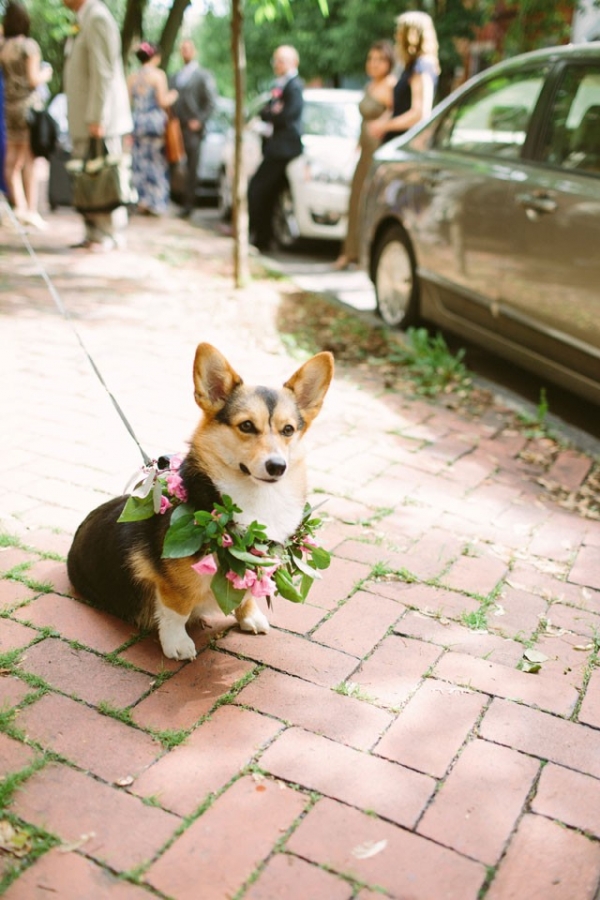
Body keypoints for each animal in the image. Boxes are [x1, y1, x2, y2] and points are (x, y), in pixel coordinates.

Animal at [69, 342, 338, 656]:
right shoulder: (173, 581)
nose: (277, 466)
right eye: (247, 426)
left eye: (288, 430)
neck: (254, 498)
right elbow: (177, 607)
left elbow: (246, 592)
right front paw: (177, 643)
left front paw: (250, 616)